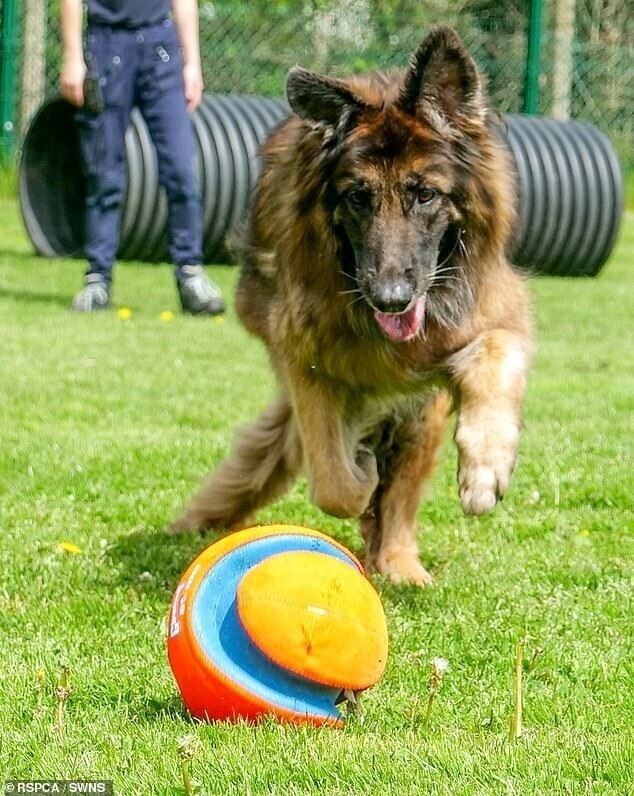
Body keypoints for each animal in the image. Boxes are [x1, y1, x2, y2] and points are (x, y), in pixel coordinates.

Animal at [170, 26, 532, 584]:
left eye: (425, 194)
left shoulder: (492, 314)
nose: (391, 299)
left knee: (402, 495)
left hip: (422, 414)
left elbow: (497, 354)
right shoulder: (306, 360)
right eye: (358, 197)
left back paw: (400, 561)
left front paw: (485, 471)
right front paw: (360, 471)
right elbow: (336, 483)